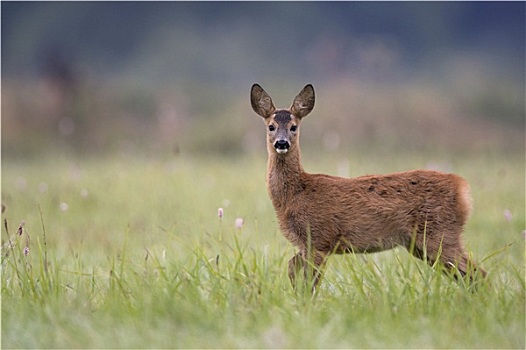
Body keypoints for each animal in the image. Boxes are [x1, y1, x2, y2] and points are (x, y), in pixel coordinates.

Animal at [250, 83, 488, 292]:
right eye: (271, 127)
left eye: (294, 127)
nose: (282, 143)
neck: (295, 194)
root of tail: (462, 188)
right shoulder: (306, 245)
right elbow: (291, 267)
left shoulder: (319, 239)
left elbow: (310, 282)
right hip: (421, 244)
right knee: (468, 275)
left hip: (439, 233)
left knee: (478, 273)